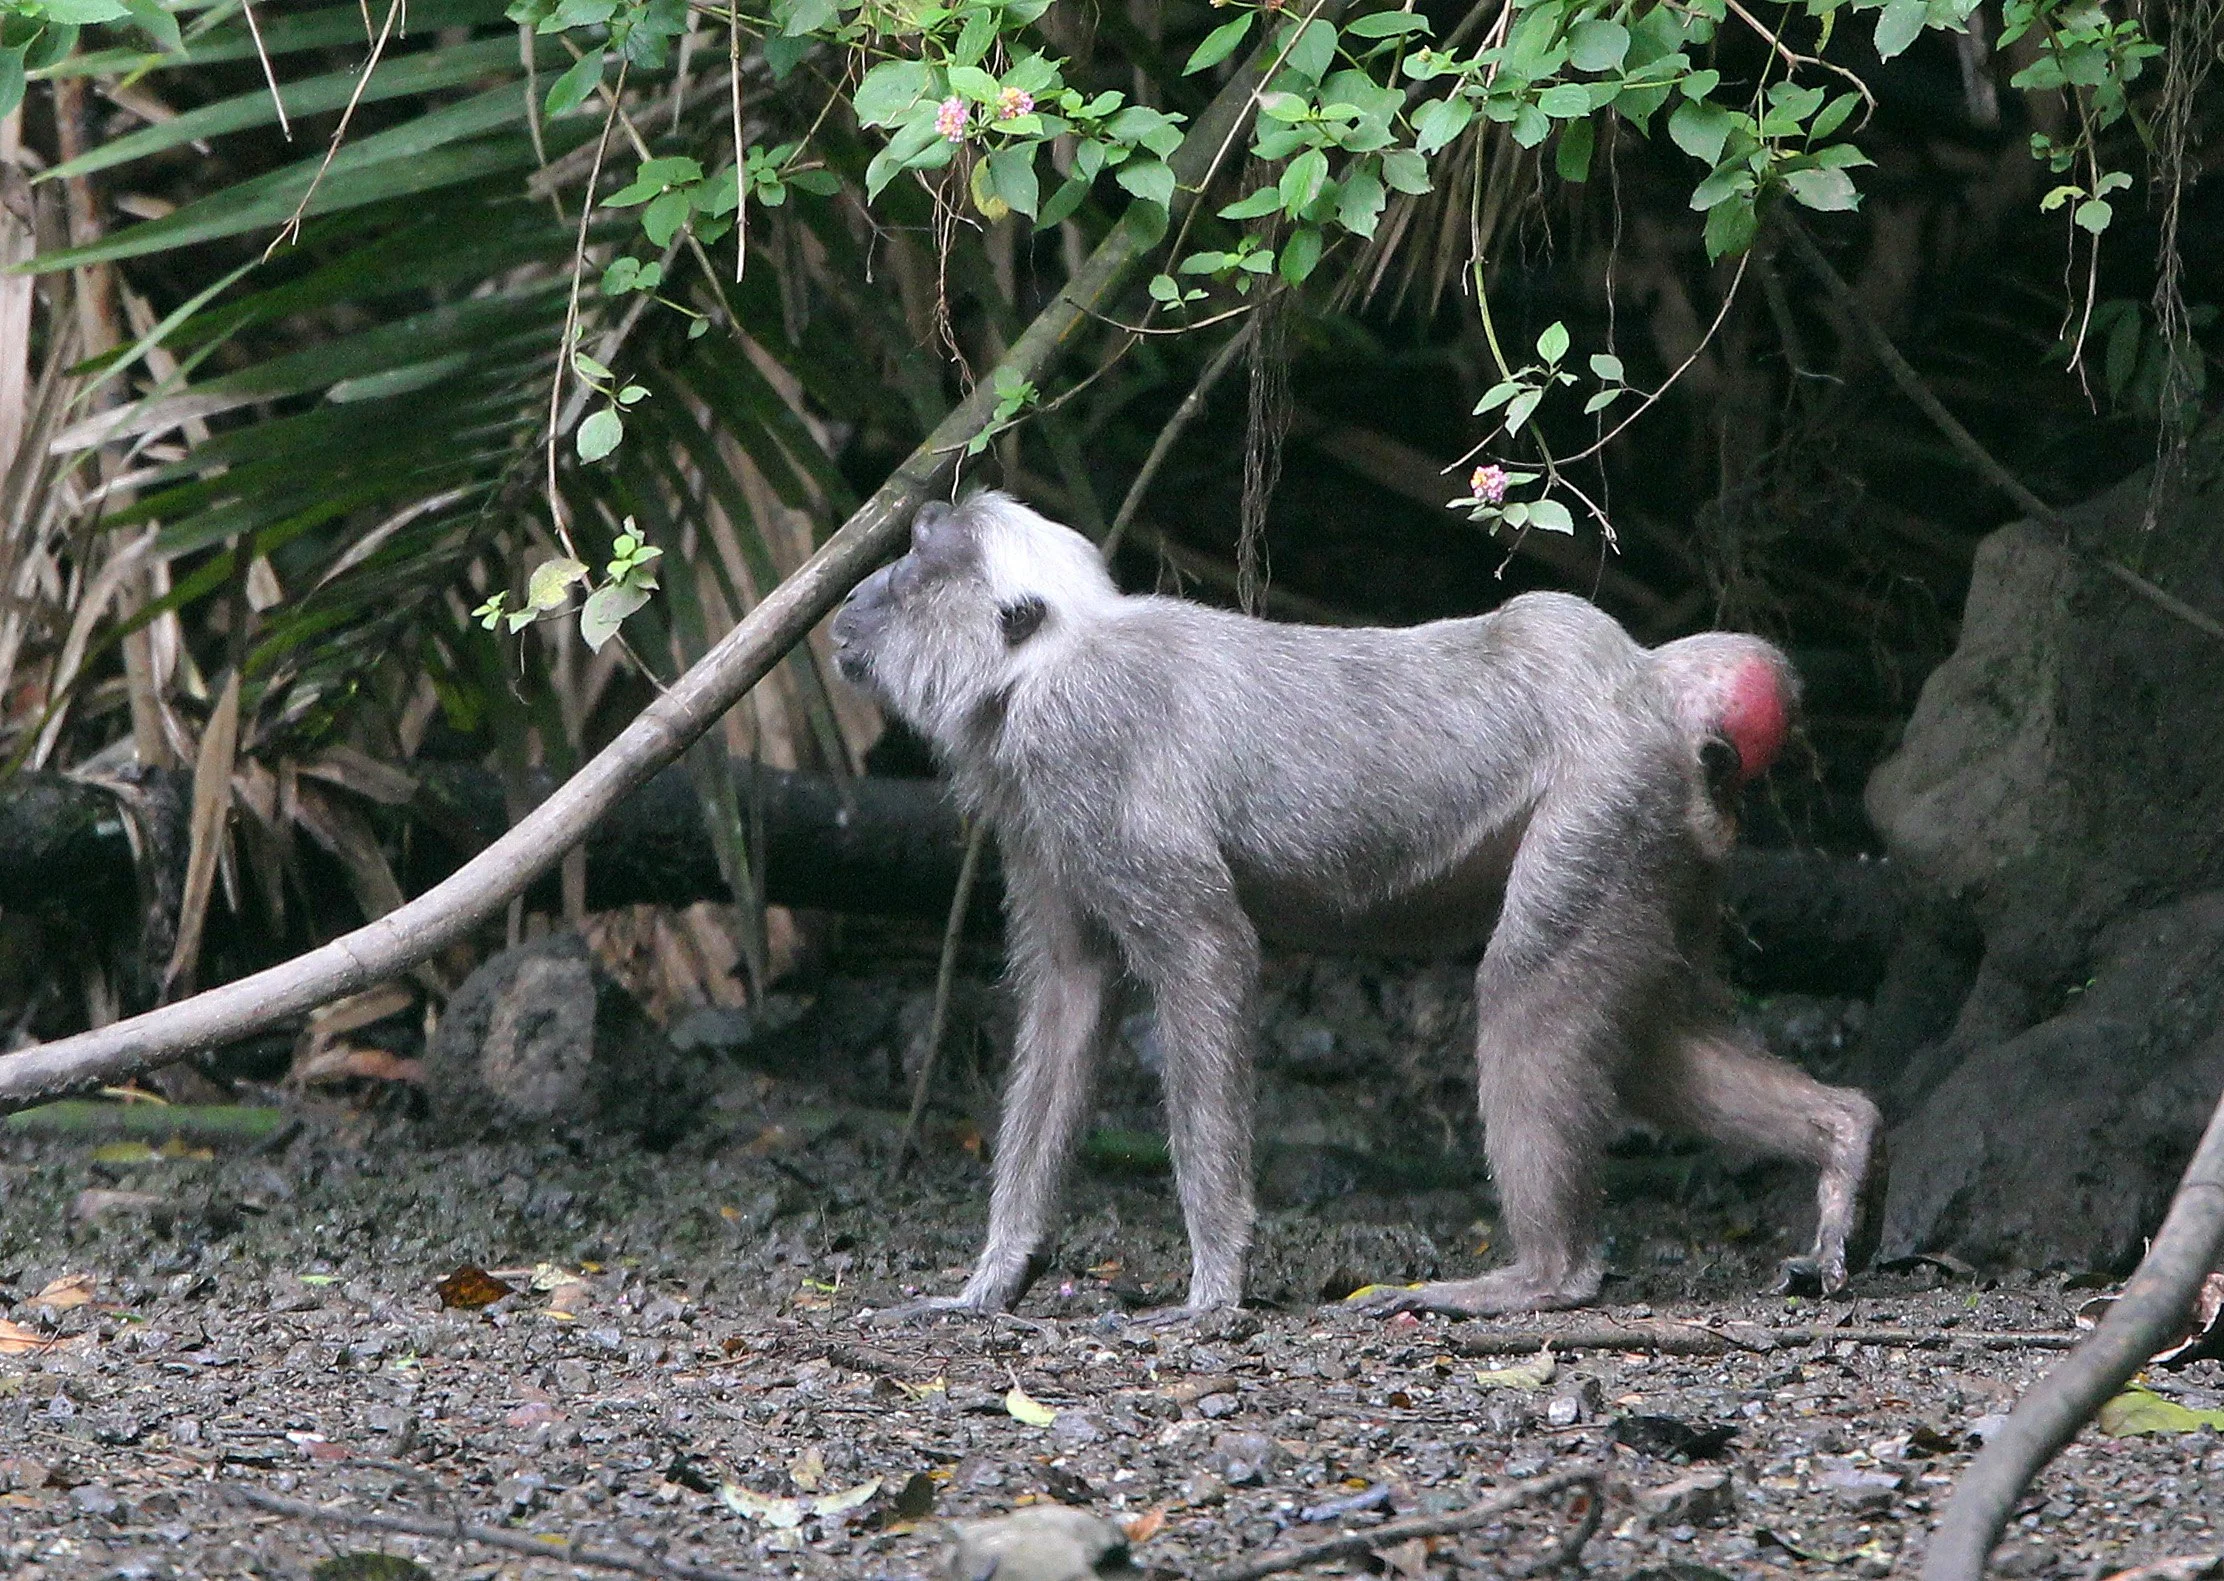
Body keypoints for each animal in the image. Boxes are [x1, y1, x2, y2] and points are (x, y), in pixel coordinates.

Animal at [830, 491, 1883, 1319]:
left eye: (917, 558)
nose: (850, 599)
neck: (1047, 659)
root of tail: (1645, 680)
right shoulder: (1042, 805)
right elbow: (1070, 993)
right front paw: (995, 1278)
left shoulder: (1080, 743)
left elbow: (1209, 953)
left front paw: (1215, 1286)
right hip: (1663, 834)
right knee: (1642, 1038)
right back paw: (1843, 1134)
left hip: (1604, 799)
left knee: (1528, 991)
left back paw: (1548, 1274)